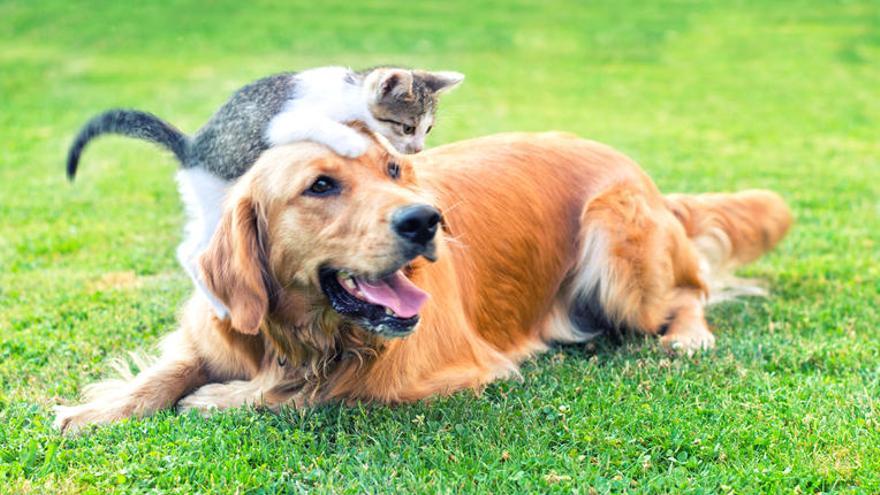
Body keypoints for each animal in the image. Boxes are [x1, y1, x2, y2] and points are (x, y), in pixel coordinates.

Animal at [58, 130, 796, 432]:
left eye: (393, 170)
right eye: (320, 185)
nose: (424, 220)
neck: (307, 335)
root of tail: (640, 171)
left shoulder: (443, 369)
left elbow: (323, 392)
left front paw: (220, 398)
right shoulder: (215, 325)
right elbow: (169, 368)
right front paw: (99, 407)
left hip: (620, 257)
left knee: (692, 290)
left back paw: (689, 336)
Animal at [65, 66, 464, 318]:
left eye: (427, 129)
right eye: (408, 126)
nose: (417, 148)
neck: (349, 93)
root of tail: (192, 147)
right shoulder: (284, 121)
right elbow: (318, 126)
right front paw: (349, 141)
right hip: (216, 198)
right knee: (194, 253)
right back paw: (221, 305)